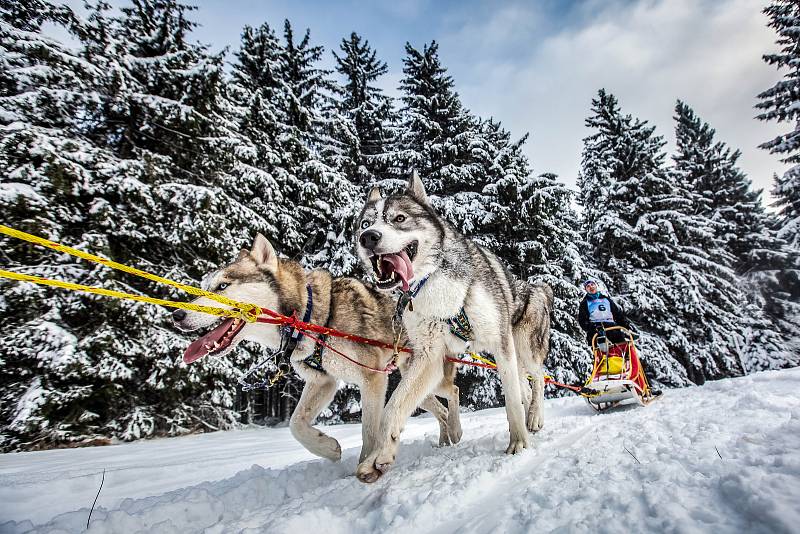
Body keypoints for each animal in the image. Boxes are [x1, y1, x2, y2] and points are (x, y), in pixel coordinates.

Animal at [175, 237, 462, 466]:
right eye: (205, 286)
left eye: (223, 286)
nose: (177, 315)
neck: (309, 315)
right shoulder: (323, 381)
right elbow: (296, 424)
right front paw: (328, 448)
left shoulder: (373, 380)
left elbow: (369, 432)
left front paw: (364, 464)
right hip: (414, 385)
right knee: (440, 409)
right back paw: (445, 438)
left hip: (426, 377)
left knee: (454, 391)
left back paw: (456, 430)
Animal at [354, 173, 552, 486]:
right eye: (365, 223)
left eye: (399, 218)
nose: (368, 237)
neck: (433, 282)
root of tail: (536, 288)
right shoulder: (428, 356)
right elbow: (392, 408)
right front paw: (380, 456)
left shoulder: (500, 342)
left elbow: (511, 402)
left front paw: (519, 443)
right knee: (523, 386)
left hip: (523, 347)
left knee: (538, 379)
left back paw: (534, 417)